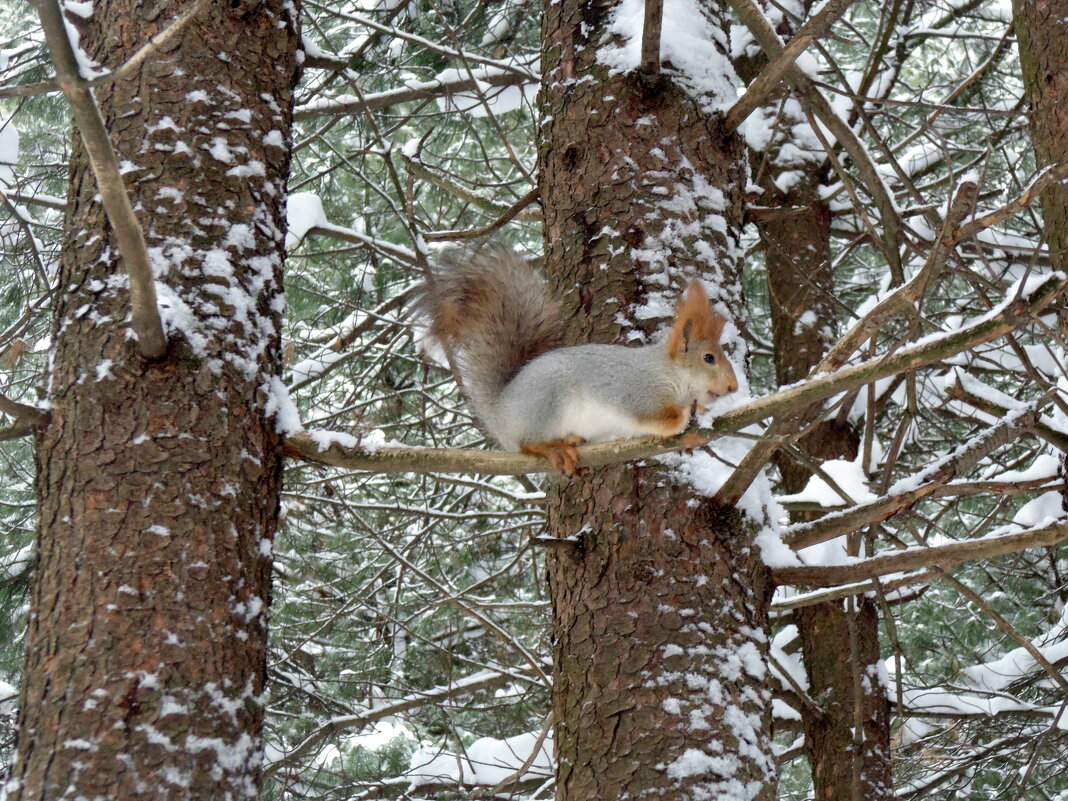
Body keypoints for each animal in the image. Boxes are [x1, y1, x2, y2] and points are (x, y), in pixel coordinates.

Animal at [412, 241, 739, 474]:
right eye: (709, 358)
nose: (733, 387)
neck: (667, 372)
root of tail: (500, 412)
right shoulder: (635, 393)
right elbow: (655, 419)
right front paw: (683, 416)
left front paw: (701, 421)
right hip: (545, 406)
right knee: (527, 444)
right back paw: (554, 449)